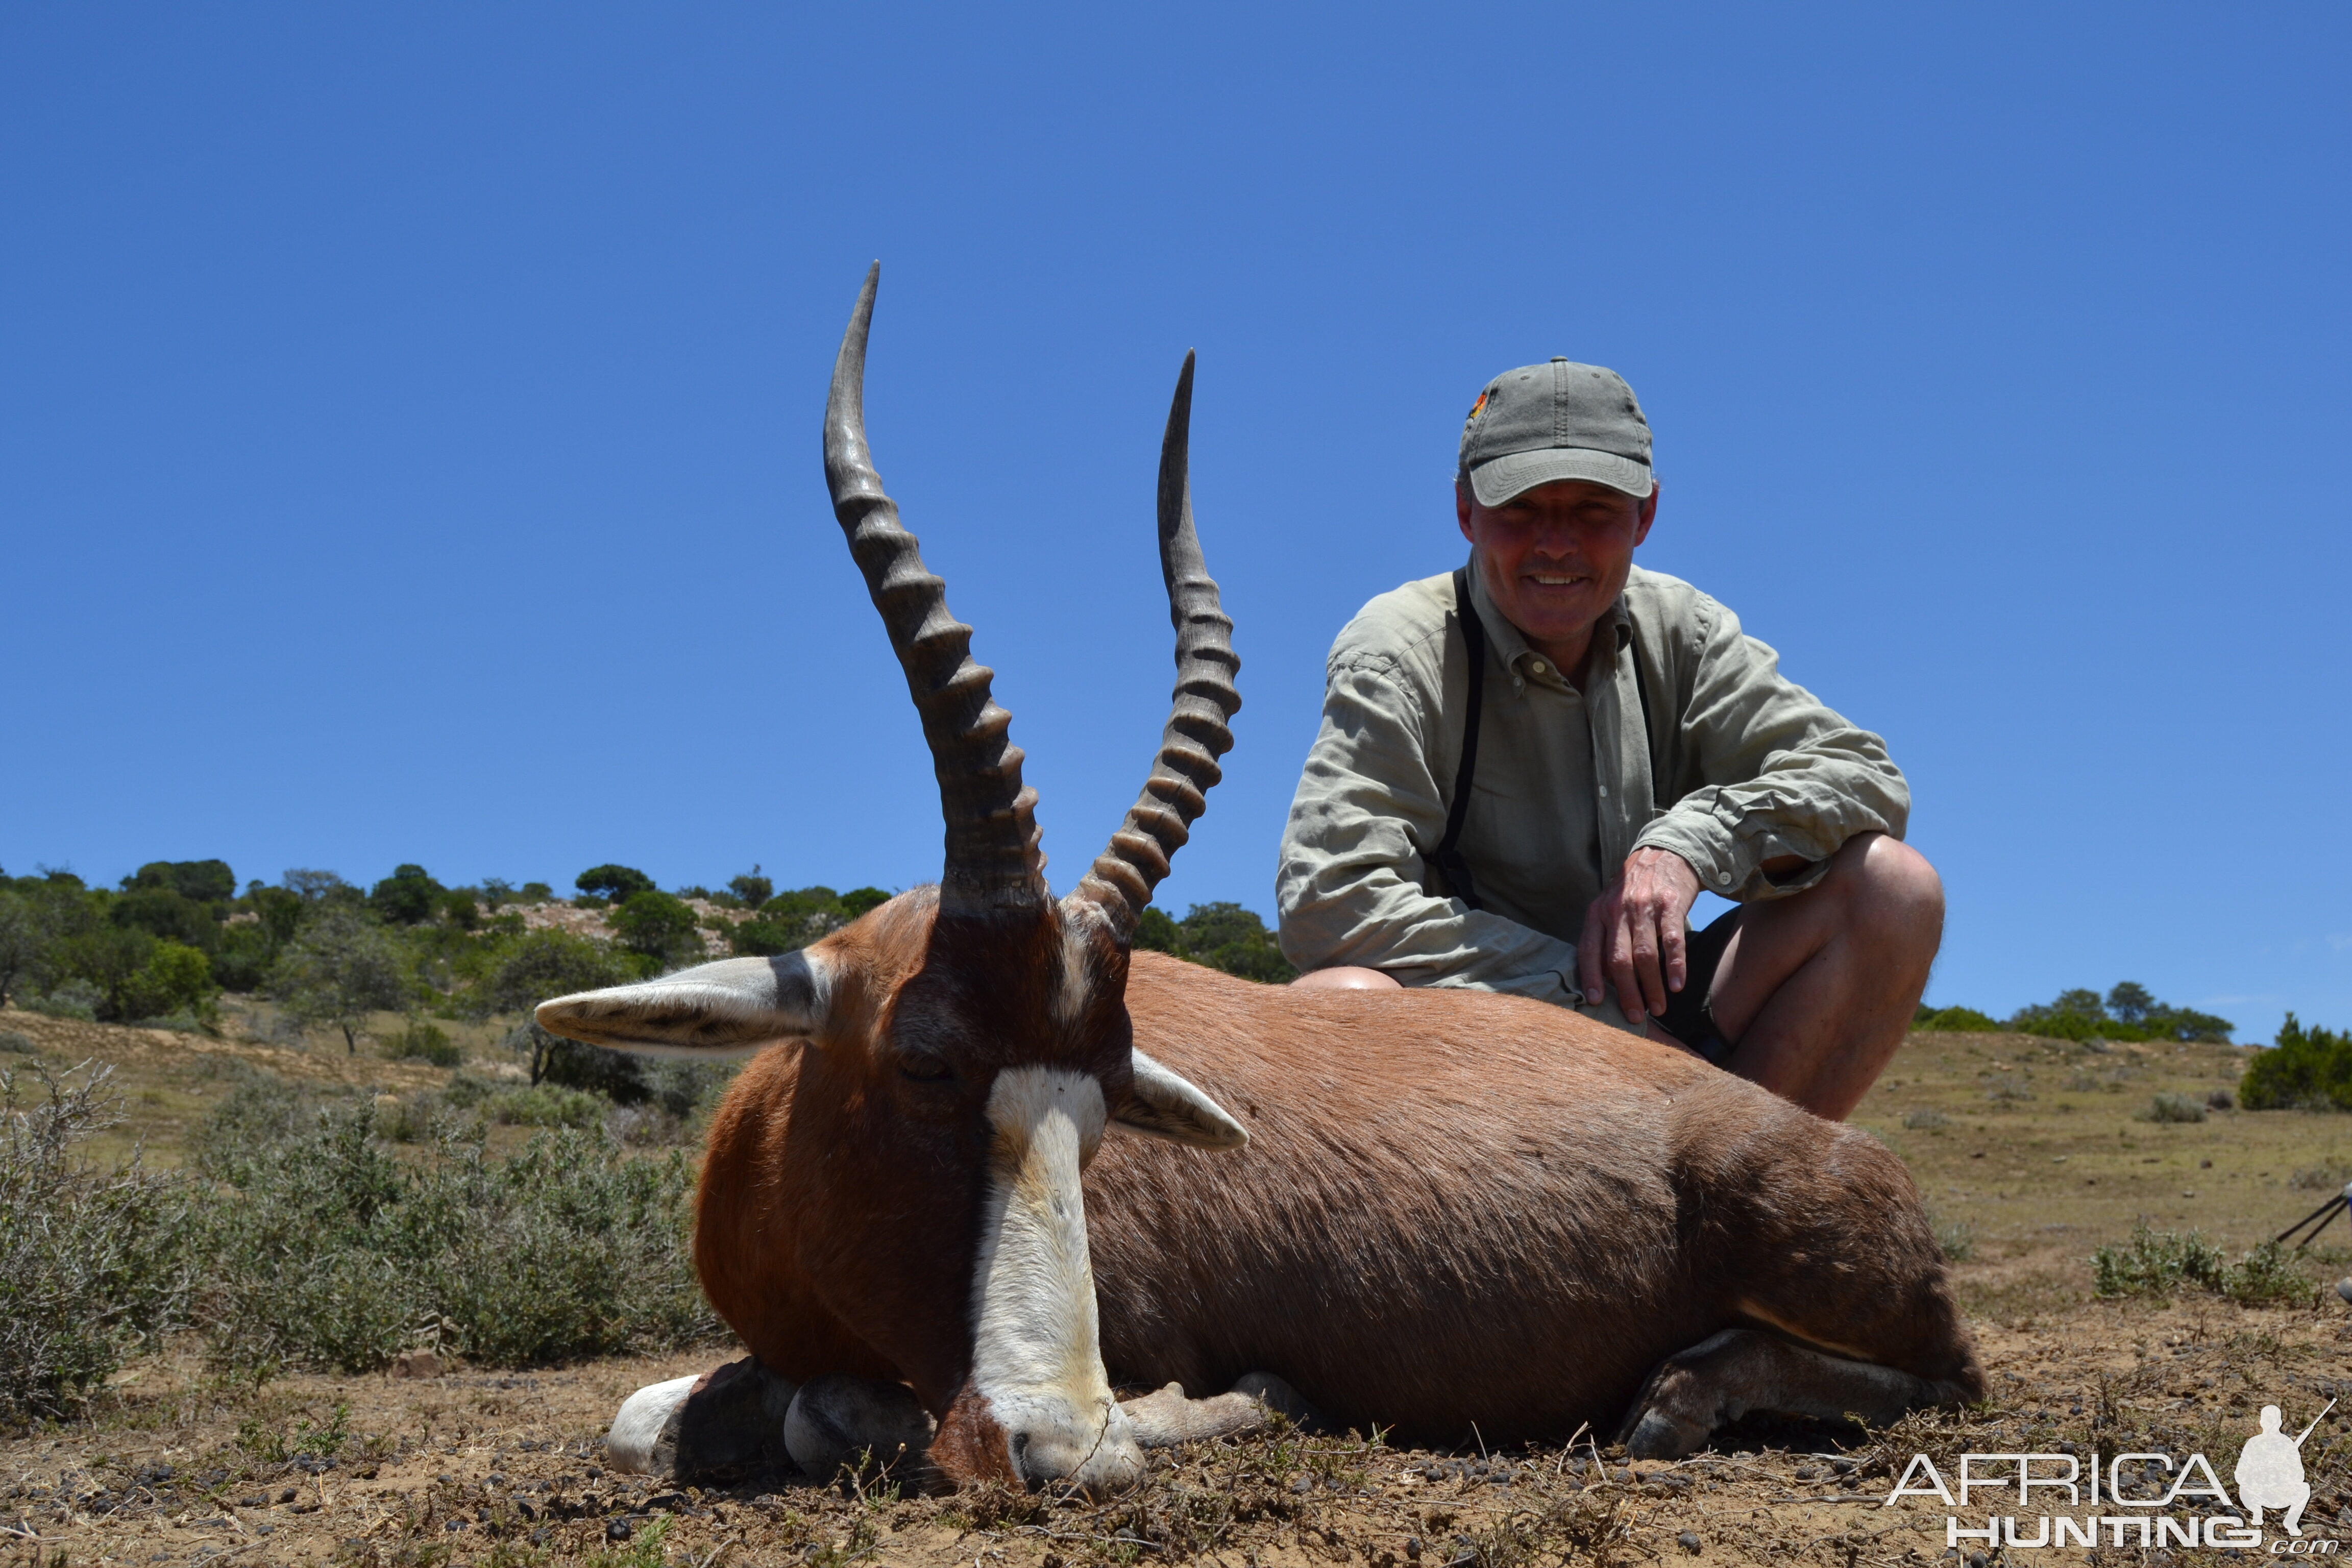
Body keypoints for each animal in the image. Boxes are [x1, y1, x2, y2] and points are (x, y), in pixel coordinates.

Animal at [538, 266, 1985, 1495]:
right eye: (928, 1062)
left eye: (1109, 1107)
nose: (1060, 1445)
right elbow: (647, 1415)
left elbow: (833, 1411)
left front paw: (1229, 1405)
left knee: (1949, 1377)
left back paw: (1682, 1398)